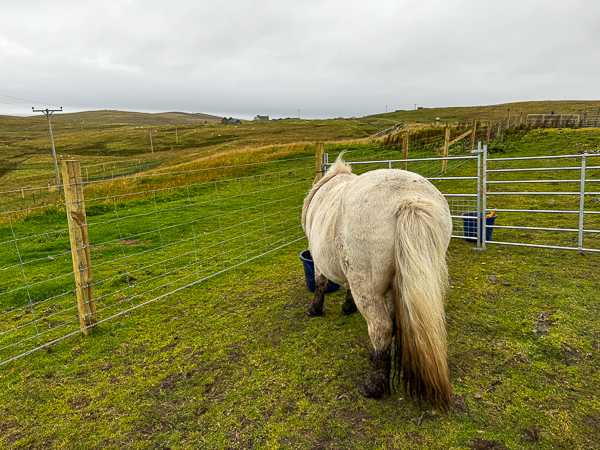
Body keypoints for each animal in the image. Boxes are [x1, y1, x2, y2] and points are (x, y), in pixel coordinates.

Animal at [302, 153, 452, 410]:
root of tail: (407, 199)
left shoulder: (321, 261)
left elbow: (320, 282)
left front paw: (316, 308)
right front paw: (347, 306)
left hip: (369, 288)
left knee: (381, 326)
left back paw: (374, 384)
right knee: (393, 320)